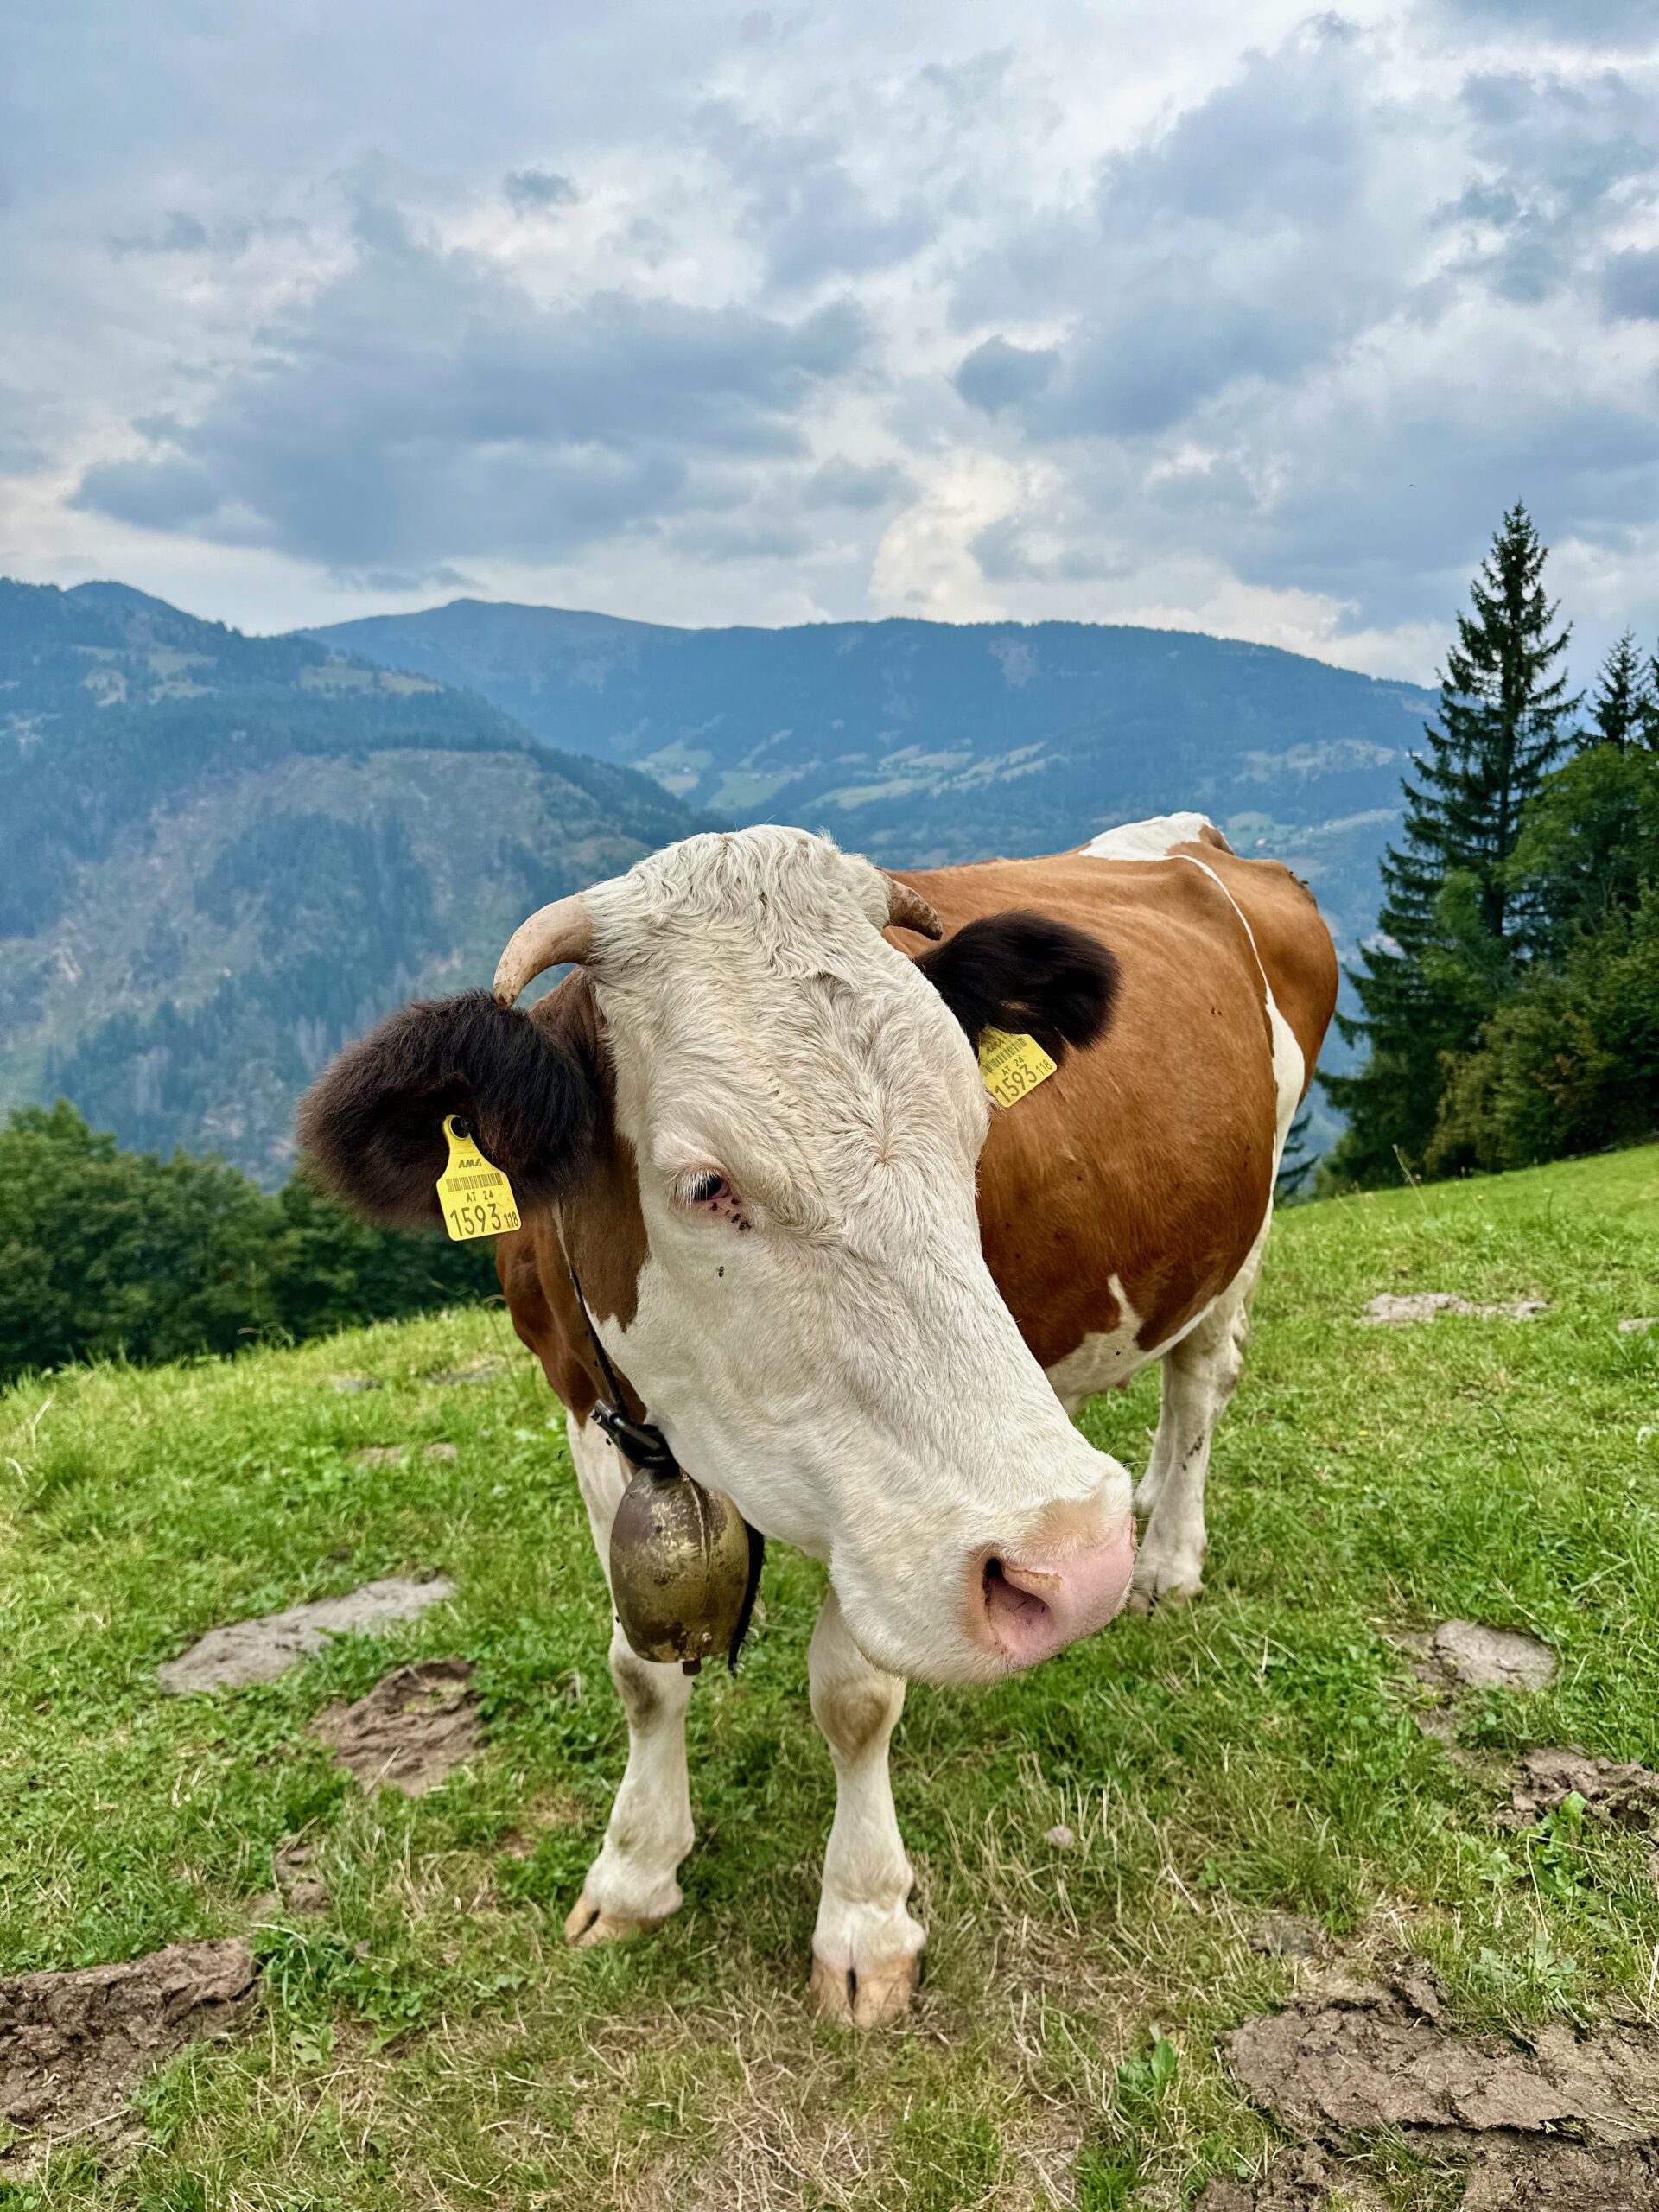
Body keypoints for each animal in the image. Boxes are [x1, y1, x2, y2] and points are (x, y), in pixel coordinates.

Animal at [298, 814, 1336, 2025]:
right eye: (706, 1184)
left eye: (976, 1128)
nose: (1077, 1562)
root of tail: (1194, 840)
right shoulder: (583, 1407)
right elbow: (640, 1670)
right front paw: (633, 1870)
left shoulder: (891, 1512)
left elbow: (856, 1695)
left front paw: (864, 1922)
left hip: (1245, 1222)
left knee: (1199, 1380)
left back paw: (1166, 1556)